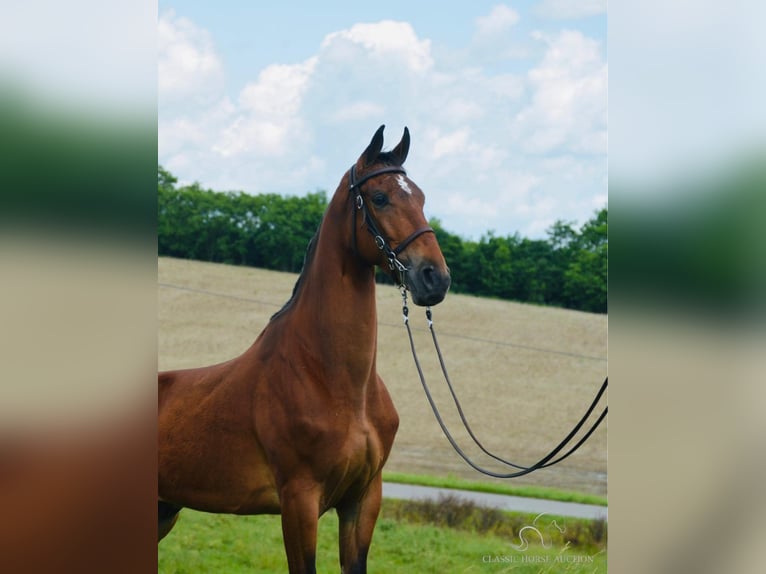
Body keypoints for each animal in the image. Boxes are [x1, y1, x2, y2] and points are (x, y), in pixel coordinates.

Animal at [159, 127, 452, 574]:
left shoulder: (363, 499)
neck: (335, 380)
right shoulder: (299, 501)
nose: (435, 277)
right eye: (380, 197)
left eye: (419, 197)